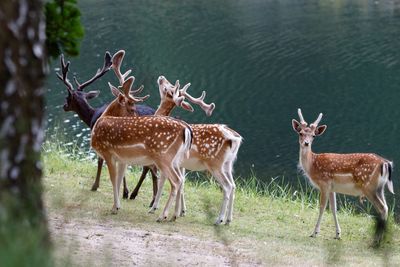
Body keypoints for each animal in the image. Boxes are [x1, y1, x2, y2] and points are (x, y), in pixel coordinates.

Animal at [57, 52, 159, 205]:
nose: (64, 106)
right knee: (148, 166)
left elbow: (100, 161)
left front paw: (95, 185)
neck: (91, 117)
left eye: (67, 98)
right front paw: (124, 192)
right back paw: (140, 196)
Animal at [91, 73, 191, 222]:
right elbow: (119, 180)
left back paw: (162, 215)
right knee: (181, 180)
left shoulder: (107, 152)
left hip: (163, 157)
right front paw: (118, 206)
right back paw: (175, 215)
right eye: (132, 108)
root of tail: (185, 129)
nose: (137, 116)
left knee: (176, 181)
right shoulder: (122, 160)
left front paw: (114, 208)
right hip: (175, 160)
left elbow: (113, 179)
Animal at [292, 109, 396, 241]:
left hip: (368, 187)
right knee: (386, 207)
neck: (312, 165)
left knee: (382, 208)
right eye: (300, 133)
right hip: (379, 188)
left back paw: (378, 238)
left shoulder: (324, 184)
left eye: (313, 135)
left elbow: (321, 207)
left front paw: (314, 233)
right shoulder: (332, 188)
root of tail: (386, 163)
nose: (306, 143)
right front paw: (337, 234)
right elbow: (334, 209)